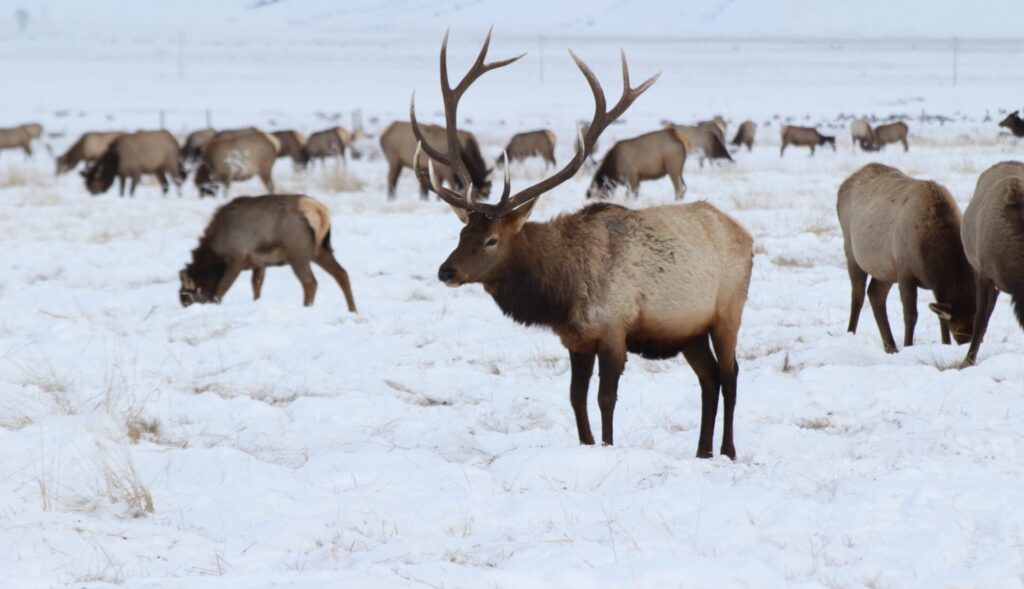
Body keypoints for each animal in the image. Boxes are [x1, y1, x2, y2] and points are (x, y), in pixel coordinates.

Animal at [182, 193, 358, 313]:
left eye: (187, 293)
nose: (183, 303)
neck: (215, 252)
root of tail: (319, 211)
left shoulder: (236, 259)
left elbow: (221, 287)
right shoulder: (259, 263)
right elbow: (256, 286)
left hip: (298, 254)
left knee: (310, 282)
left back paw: (306, 307)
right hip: (320, 250)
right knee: (342, 273)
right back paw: (353, 310)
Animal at [411, 29, 757, 458]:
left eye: (491, 239)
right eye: (462, 233)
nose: (446, 271)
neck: (562, 292)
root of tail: (746, 236)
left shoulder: (613, 331)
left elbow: (605, 399)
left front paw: (607, 445)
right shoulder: (575, 340)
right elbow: (576, 399)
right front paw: (587, 443)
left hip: (728, 311)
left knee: (730, 375)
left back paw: (727, 450)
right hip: (688, 330)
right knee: (708, 378)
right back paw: (702, 451)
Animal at [835, 163, 970, 352]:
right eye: (959, 326)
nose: (968, 342)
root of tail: (844, 184)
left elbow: (939, 317)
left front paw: (945, 344)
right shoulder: (905, 272)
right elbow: (910, 315)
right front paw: (908, 345)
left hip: (885, 269)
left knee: (875, 294)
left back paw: (890, 346)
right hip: (852, 253)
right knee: (858, 296)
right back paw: (851, 334)